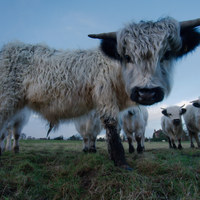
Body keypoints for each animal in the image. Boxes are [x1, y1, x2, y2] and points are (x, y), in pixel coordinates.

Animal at [0, 17, 200, 168]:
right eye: (127, 56)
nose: (147, 93)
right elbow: (112, 130)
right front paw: (121, 163)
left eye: (166, 54)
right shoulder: (106, 98)